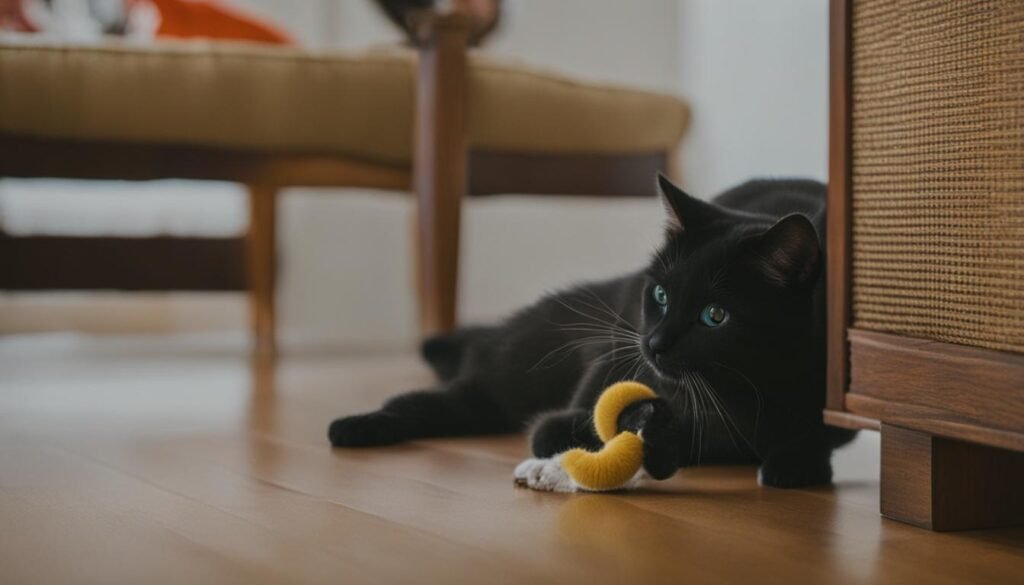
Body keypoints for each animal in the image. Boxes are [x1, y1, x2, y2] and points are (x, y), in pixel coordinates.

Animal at [327, 177, 856, 489]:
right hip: (520, 371)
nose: (654, 344)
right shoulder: (609, 365)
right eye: (660, 295)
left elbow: (814, 435)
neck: (738, 391)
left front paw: (796, 463)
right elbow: (558, 427)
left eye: (715, 316)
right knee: (443, 399)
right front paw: (648, 432)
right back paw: (356, 426)